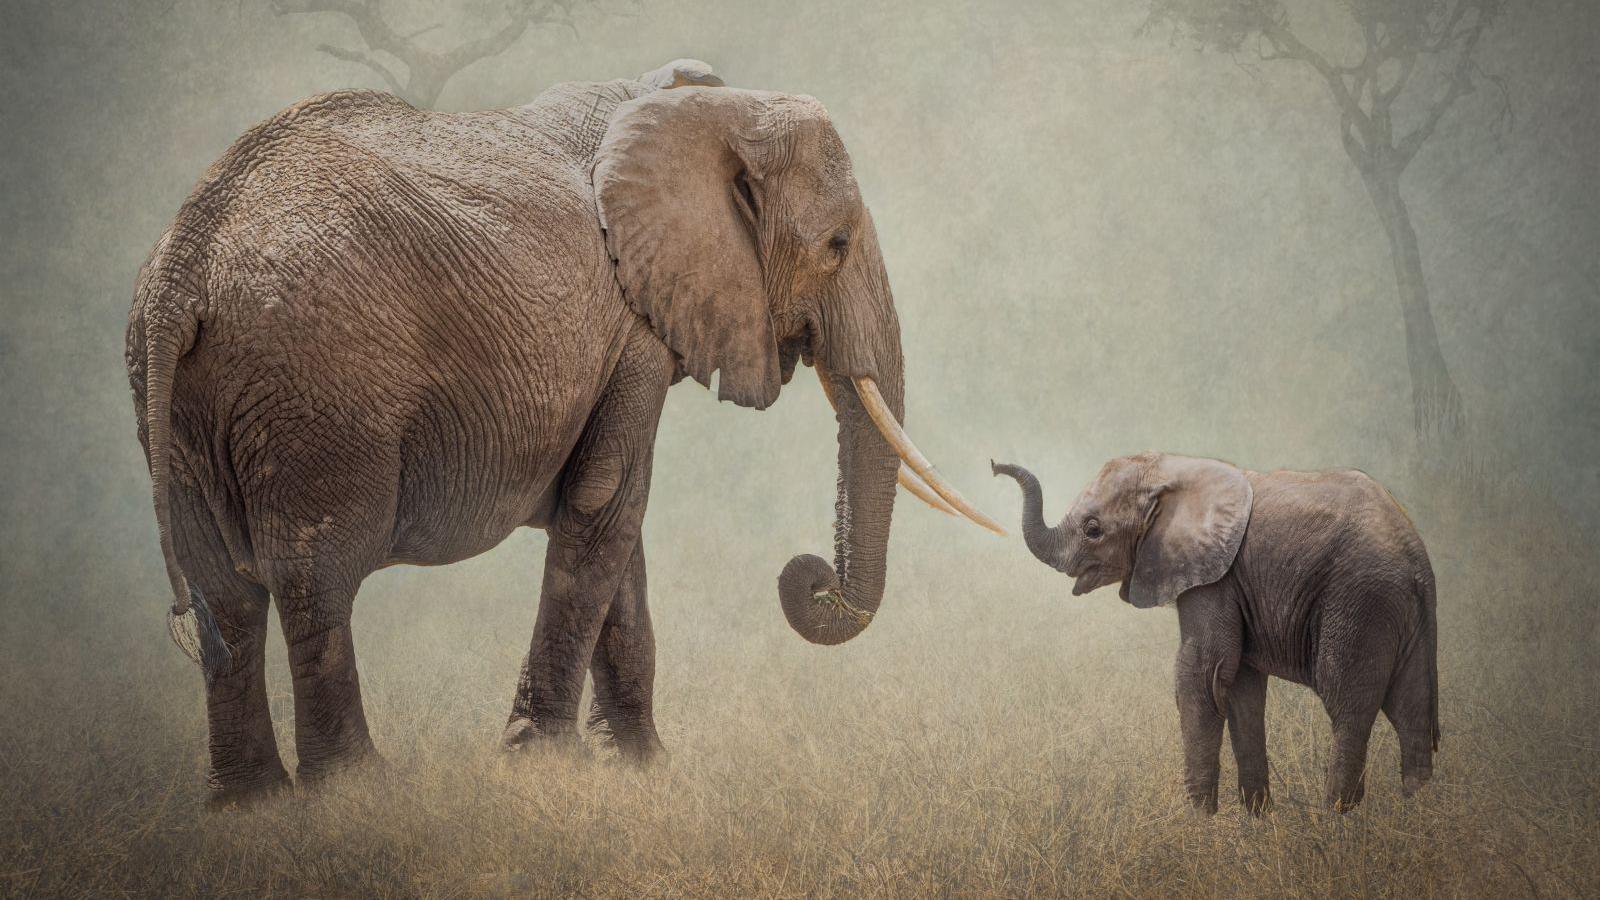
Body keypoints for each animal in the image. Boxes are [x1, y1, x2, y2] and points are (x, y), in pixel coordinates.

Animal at [128, 61, 998, 797]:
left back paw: (252, 803)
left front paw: (641, 767)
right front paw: (545, 760)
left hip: (180, 408)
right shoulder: (632, 326)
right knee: (316, 572)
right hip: (320, 389)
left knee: (223, 592)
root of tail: (184, 266)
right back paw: (357, 791)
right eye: (838, 246)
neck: (707, 104)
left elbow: (616, 521)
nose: (810, 575)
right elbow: (609, 499)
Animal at [985, 451, 1440, 810]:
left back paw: (1336, 817)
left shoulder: (1214, 576)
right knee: (1411, 710)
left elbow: (1202, 674)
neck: (1172, 467)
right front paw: (1257, 819)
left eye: (1093, 529)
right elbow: (1241, 688)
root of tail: (1416, 555)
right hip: (1399, 612)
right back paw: (1416, 813)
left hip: (1360, 601)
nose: (993, 465)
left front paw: (1198, 820)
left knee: (1347, 704)